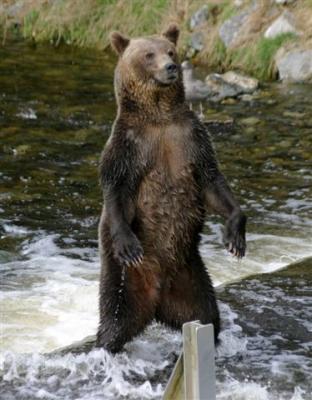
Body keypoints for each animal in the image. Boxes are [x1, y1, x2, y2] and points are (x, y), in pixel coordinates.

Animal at [95, 25, 246, 354]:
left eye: (171, 51)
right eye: (148, 54)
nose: (170, 67)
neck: (159, 117)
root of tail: (156, 300)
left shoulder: (191, 139)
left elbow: (213, 183)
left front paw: (235, 238)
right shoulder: (129, 146)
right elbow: (116, 190)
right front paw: (129, 244)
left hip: (191, 276)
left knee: (207, 315)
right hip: (123, 277)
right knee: (113, 317)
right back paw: (105, 346)